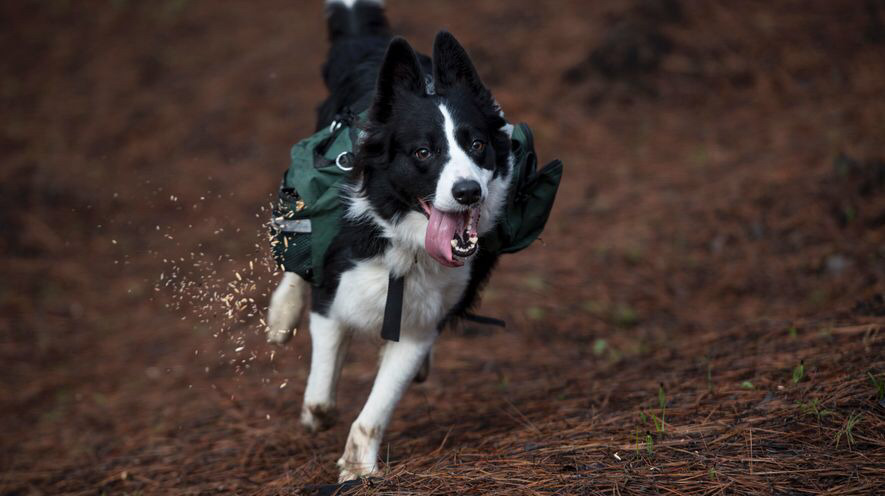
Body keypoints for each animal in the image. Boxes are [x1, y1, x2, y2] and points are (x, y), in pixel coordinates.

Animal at [266, 0, 516, 480]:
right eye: (423, 152)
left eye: (477, 144)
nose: (468, 192)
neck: (405, 242)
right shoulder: (333, 297)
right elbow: (321, 396)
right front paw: (318, 418)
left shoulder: (419, 327)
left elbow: (377, 405)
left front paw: (357, 467)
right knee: (296, 242)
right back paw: (281, 314)